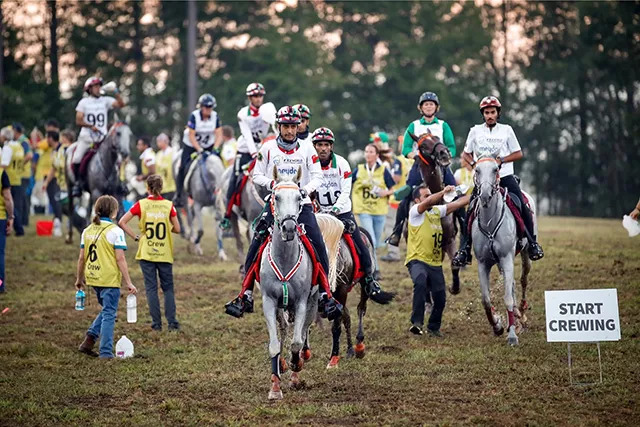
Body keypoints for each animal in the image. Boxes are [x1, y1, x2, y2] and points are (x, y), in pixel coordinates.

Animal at [262, 167, 344, 402]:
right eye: (276, 197)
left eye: (299, 197)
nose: (289, 228)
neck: (284, 259)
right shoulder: (269, 301)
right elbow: (274, 345)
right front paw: (275, 387)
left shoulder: (300, 302)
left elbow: (297, 342)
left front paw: (296, 364)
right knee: (283, 329)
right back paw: (283, 365)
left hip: (313, 301)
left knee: (304, 330)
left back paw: (298, 366)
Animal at [470, 159, 536, 346]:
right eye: (477, 170)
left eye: (495, 169)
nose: (485, 195)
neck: (489, 222)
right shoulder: (483, 263)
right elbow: (485, 300)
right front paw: (498, 326)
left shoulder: (506, 258)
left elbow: (507, 298)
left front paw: (512, 336)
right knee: (512, 284)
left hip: (524, 256)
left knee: (522, 280)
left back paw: (522, 312)